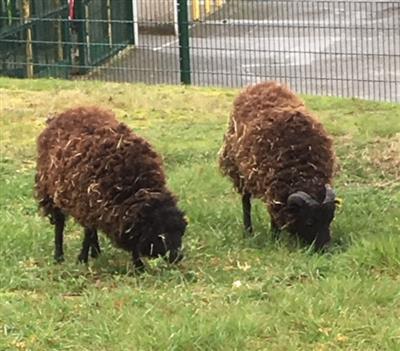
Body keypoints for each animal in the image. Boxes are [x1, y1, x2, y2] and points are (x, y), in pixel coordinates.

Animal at [35, 107, 188, 270]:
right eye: (160, 233)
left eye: (181, 231)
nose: (177, 257)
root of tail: (69, 112)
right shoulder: (89, 204)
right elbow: (88, 234)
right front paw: (82, 259)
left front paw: (138, 266)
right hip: (52, 193)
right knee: (60, 225)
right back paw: (59, 256)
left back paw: (95, 252)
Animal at [219, 81, 338, 249]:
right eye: (309, 222)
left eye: (330, 218)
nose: (326, 248)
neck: (302, 169)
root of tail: (260, 84)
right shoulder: (272, 188)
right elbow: (273, 216)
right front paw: (274, 238)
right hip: (241, 172)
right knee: (245, 202)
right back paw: (248, 231)